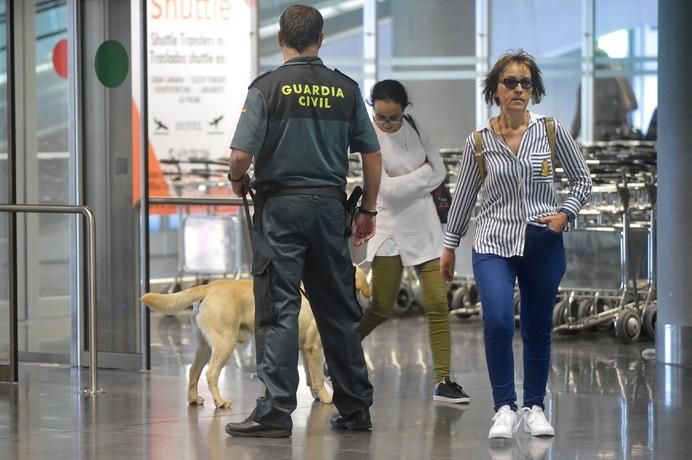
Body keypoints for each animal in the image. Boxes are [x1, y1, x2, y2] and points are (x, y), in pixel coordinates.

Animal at [141, 270, 374, 410]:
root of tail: (207, 286)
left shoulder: (305, 349)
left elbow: (309, 377)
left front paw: (317, 395)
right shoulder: (314, 347)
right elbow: (317, 377)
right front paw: (326, 397)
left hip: (204, 346)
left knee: (192, 372)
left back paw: (193, 399)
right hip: (225, 343)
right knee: (211, 373)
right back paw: (220, 401)